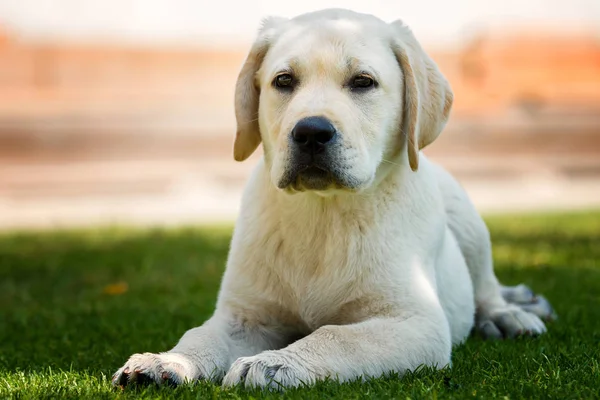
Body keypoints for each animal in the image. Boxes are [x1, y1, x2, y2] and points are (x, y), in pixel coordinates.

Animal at [113, 8, 556, 390]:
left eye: (362, 82)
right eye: (284, 81)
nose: (311, 132)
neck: (323, 212)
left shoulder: (414, 322)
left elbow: (335, 336)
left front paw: (275, 363)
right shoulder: (244, 316)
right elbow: (200, 335)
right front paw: (166, 361)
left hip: (467, 219)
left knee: (486, 288)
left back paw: (509, 316)